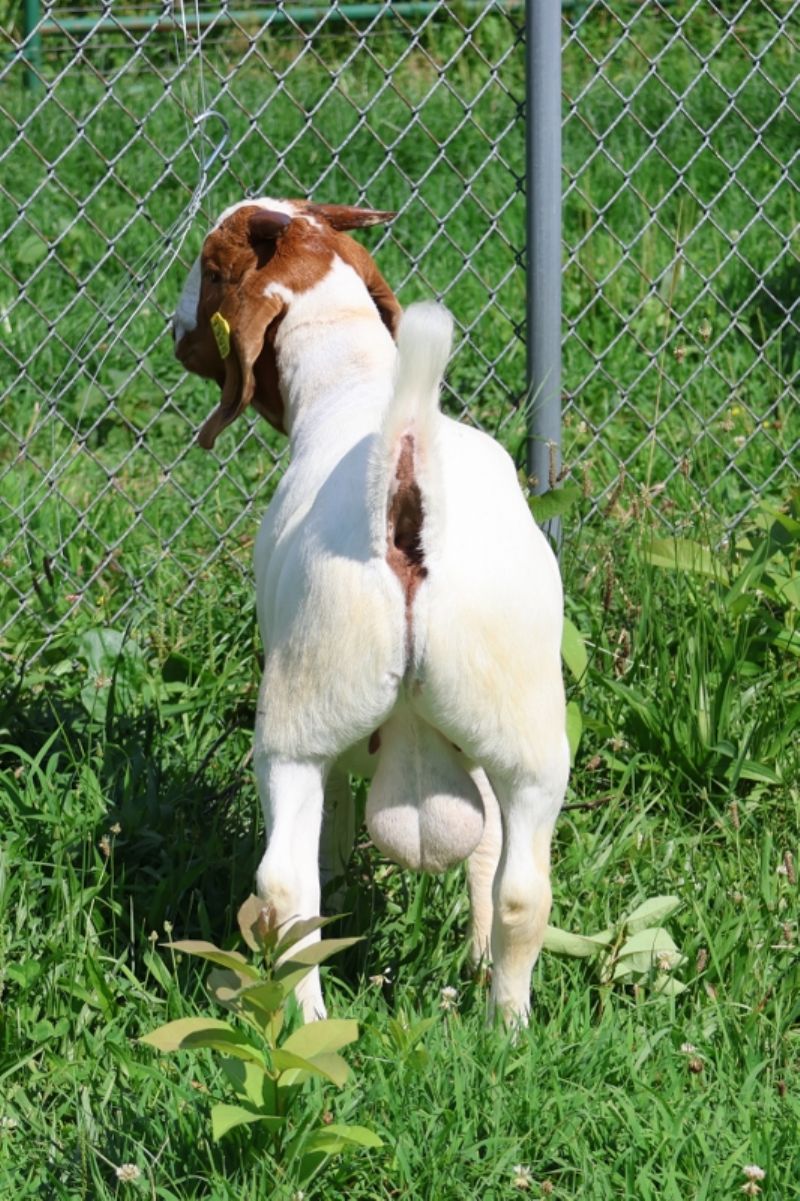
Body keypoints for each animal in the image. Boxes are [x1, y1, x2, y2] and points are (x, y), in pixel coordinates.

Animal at [173, 198, 569, 1025]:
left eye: (212, 264)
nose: (171, 325)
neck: (353, 379)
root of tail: (403, 463)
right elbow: (487, 856)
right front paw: (476, 958)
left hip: (296, 720)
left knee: (286, 883)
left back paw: (307, 1021)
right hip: (525, 727)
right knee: (523, 889)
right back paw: (508, 1022)